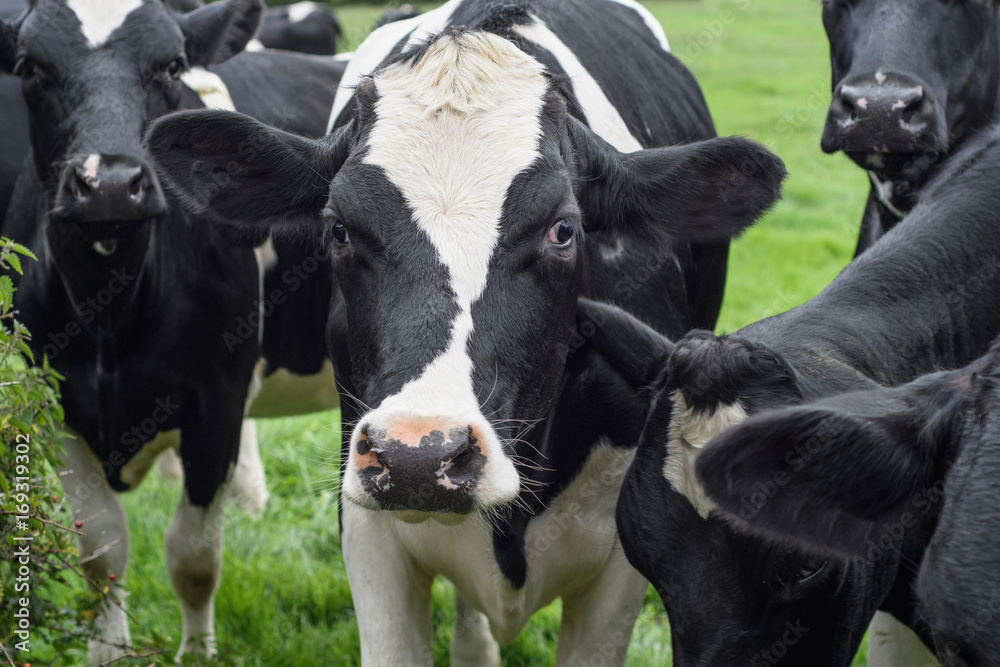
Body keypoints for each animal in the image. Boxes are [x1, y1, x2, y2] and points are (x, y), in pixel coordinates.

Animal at [0, 0, 344, 664]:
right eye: (30, 67)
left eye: (173, 66)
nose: (109, 184)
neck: (113, 322)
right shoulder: (54, 400)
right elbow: (101, 547)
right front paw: (108, 651)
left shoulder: (217, 403)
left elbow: (193, 556)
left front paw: (198, 652)